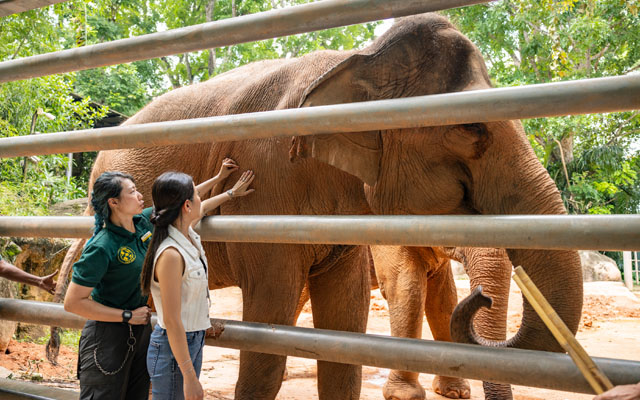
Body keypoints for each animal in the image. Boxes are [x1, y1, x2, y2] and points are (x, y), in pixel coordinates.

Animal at [50, 12, 583, 400]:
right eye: (472, 128)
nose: (484, 297)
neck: (354, 61)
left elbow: (345, 342)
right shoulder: (269, 194)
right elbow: (270, 342)